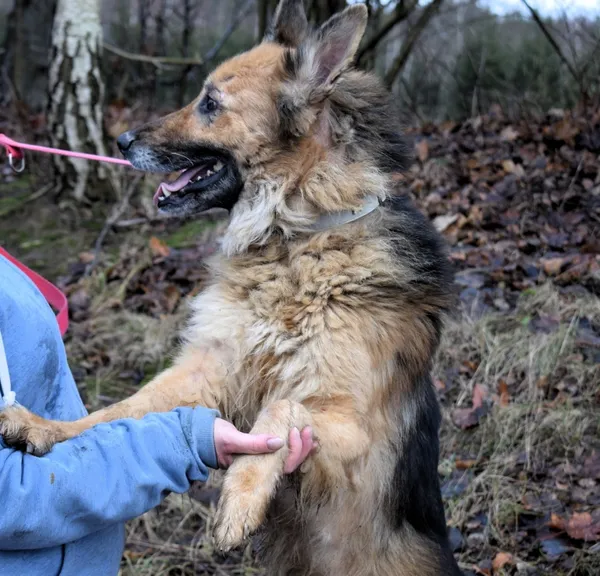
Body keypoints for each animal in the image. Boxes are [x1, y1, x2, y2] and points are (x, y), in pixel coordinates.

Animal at [0, 2, 460, 572]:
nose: (122, 142)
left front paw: (240, 498)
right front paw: (46, 428)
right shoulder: (206, 370)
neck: (295, 237)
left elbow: (282, 409)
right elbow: (119, 411)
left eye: (210, 103)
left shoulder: (353, 431)